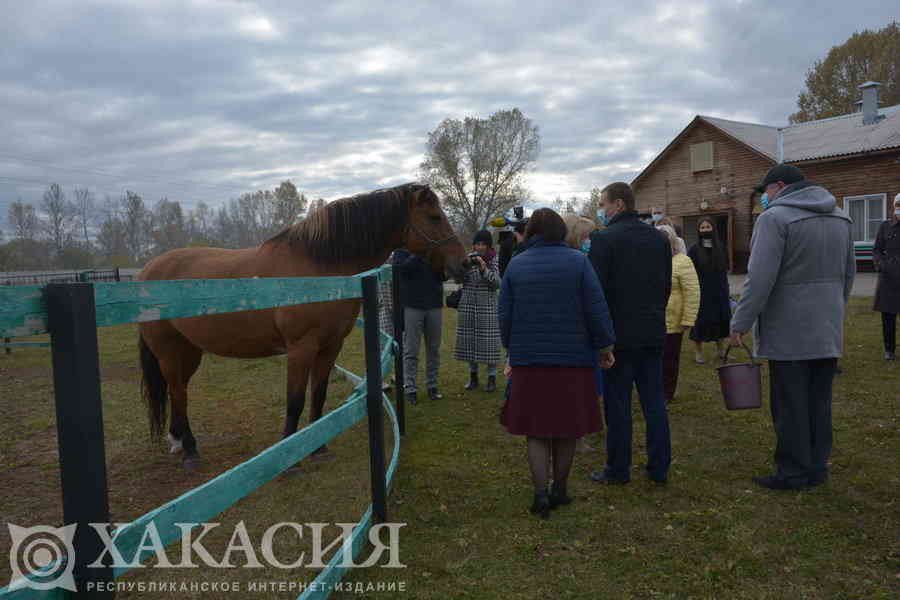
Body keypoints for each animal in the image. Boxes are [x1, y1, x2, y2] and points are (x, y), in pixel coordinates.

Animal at [141, 183, 468, 468]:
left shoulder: (330, 346)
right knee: (178, 393)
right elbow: (295, 400)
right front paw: (291, 457)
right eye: (434, 217)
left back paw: (178, 441)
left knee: (178, 392)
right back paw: (190, 451)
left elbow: (318, 395)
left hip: (189, 351)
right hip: (169, 353)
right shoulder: (301, 348)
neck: (317, 269)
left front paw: (319, 447)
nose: (463, 264)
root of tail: (147, 271)